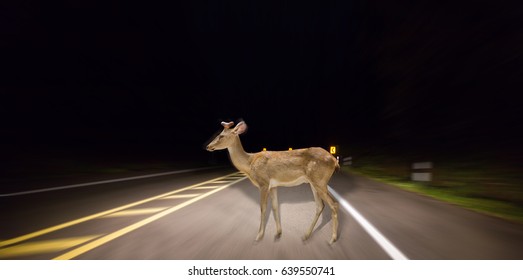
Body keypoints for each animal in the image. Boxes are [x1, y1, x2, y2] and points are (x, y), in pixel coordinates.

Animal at [207, 121, 342, 244]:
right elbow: (275, 206)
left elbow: (263, 208)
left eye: (221, 136)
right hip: (313, 182)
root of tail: (334, 161)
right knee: (320, 205)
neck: (249, 163)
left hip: (319, 181)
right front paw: (278, 232)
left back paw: (332, 239)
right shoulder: (273, 186)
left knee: (333, 204)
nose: (208, 146)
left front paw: (259, 236)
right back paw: (306, 235)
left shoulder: (264, 183)